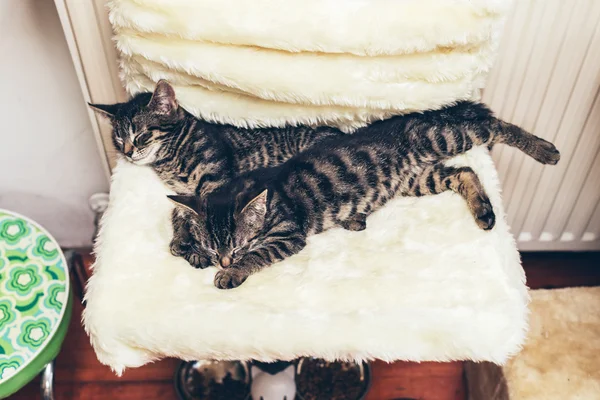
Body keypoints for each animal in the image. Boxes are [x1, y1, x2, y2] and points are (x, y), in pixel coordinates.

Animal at [88, 80, 342, 268]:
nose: (127, 152)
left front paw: (194, 248)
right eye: (118, 138)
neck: (170, 158)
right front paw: (182, 239)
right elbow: (180, 212)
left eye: (141, 135)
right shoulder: (185, 191)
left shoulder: (216, 182)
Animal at [170, 99, 564, 288]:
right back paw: (484, 211)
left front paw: (232, 273)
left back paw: (545, 149)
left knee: (490, 125)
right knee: (464, 171)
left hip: (439, 139)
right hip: (419, 178)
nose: (223, 261)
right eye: (212, 248)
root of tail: (404, 118)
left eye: (236, 247)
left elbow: (259, 255)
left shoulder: (288, 235)